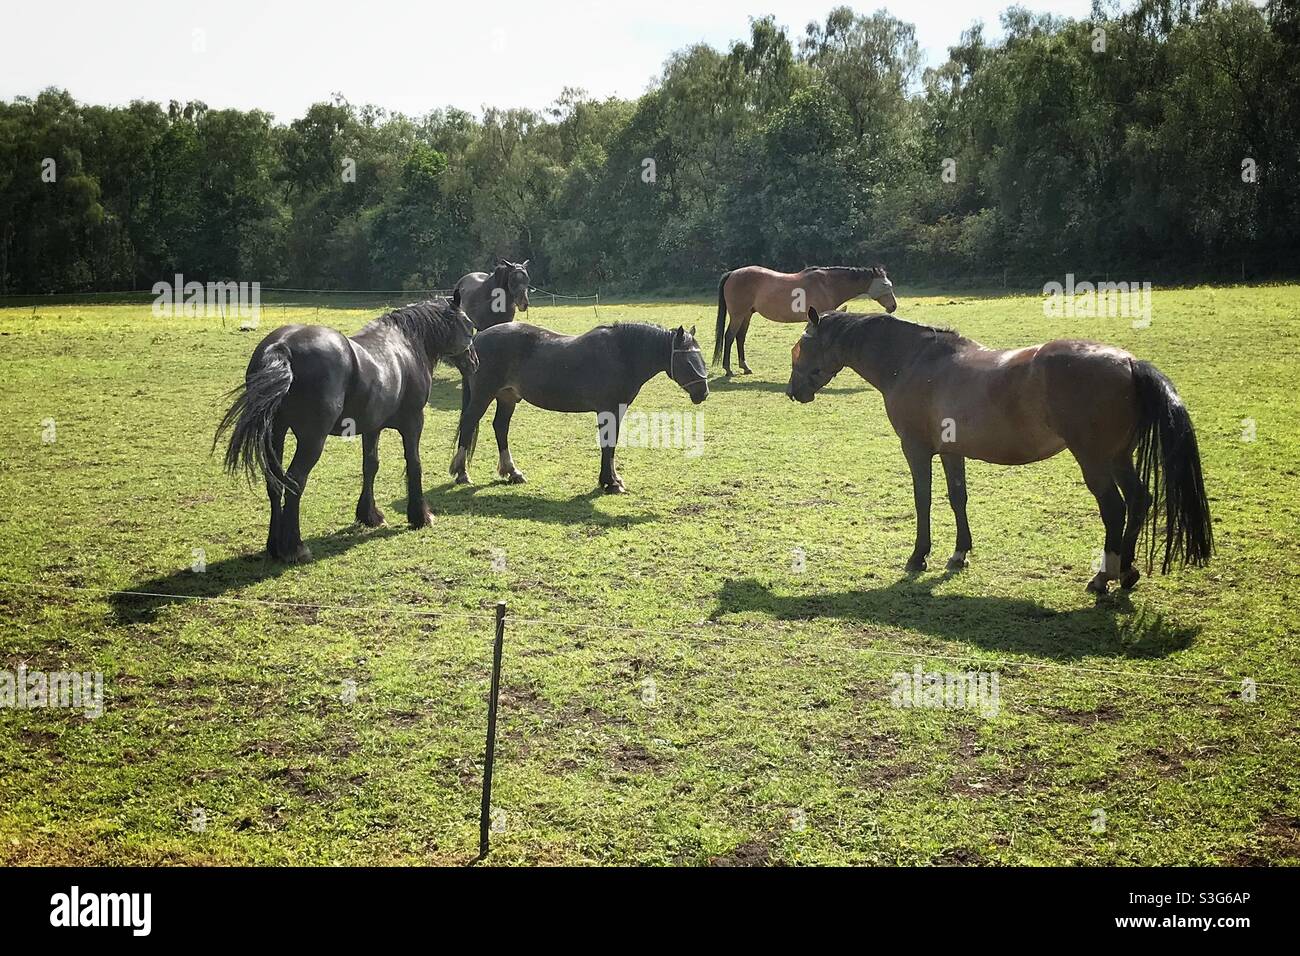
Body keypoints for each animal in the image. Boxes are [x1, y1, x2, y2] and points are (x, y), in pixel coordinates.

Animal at [215, 295, 478, 562]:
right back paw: (296, 547)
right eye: (469, 326)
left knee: (275, 482)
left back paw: (275, 547)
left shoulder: (372, 427)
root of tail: (281, 346)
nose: (474, 362)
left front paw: (369, 515)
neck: (407, 345)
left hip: (275, 433)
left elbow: (370, 466)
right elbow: (414, 464)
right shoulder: (413, 422)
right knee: (295, 481)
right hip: (311, 440)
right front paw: (420, 516)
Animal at [450, 322, 709, 494]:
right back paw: (462, 474)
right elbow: (608, 445)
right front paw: (610, 483)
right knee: (468, 424)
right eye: (687, 360)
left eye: (701, 358)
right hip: (483, 396)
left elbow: (611, 445)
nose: (703, 393)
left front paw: (611, 480)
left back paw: (513, 472)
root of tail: (478, 338)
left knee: (500, 428)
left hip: (507, 398)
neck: (622, 354)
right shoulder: (608, 410)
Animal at [713, 264, 898, 376]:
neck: (828, 285)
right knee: (729, 337)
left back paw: (745, 367)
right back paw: (728, 369)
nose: (893, 306)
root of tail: (733, 273)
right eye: (885, 285)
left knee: (740, 337)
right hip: (738, 315)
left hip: (747, 314)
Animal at [786, 308, 1212, 593]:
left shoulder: (917, 449)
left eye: (801, 347)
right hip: (1118, 457)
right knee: (1139, 500)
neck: (913, 362)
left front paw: (919, 555)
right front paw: (959, 553)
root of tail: (1128, 361)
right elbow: (957, 497)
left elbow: (923, 500)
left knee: (1115, 508)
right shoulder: (951, 451)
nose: (793, 391)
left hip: (1094, 460)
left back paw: (1103, 577)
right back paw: (1126, 571)